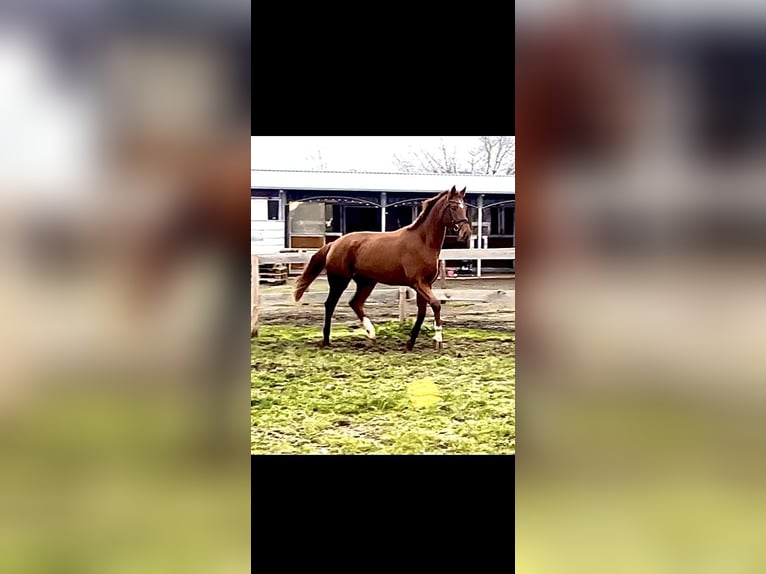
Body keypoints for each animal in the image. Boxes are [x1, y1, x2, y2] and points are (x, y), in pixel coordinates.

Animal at [296, 189, 472, 352]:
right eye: (454, 206)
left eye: (465, 207)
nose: (466, 233)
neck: (423, 242)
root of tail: (334, 244)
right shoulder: (418, 283)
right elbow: (435, 304)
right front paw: (438, 339)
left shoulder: (426, 284)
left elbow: (422, 312)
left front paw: (410, 343)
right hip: (339, 280)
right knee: (330, 304)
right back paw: (326, 340)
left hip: (366, 282)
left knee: (355, 303)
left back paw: (372, 335)